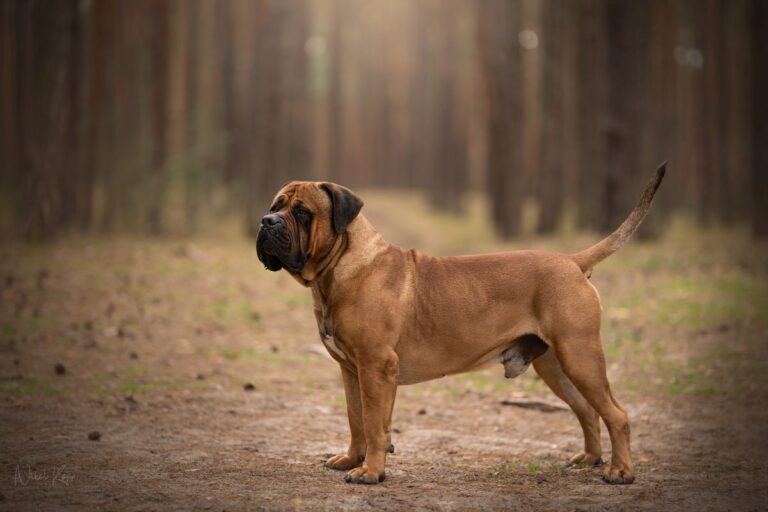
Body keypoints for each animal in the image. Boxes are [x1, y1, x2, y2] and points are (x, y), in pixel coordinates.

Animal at [256, 163, 664, 484]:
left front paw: (370, 472)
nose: (266, 221)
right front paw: (351, 460)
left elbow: (373, 423)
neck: (339, 269)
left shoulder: (375, 367)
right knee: (588, 410)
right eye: (275, 205)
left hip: (580, 356)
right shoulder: (351, 370)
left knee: (616, 414)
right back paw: (590, 459)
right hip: (557, 366)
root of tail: (572, 262)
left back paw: (620, 471)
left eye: (302, 212)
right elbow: (357, 419)